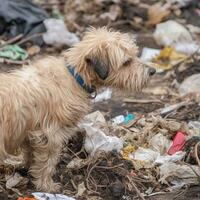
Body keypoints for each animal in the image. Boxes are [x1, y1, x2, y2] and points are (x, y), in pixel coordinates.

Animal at [0, 27, 155, 191]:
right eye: (126, 62)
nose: (153, 71)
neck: (75, 76)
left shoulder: (30, 130)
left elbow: (31, 152)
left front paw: (28, 168)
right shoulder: (50, 134)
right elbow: (47, 162)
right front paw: (46, 185)